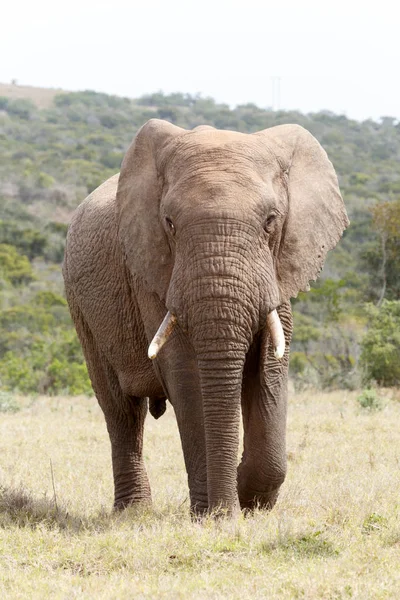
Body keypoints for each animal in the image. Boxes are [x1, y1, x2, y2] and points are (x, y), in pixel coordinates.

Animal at [62, 118, 346, 516]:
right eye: (169, 223)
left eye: (270, 221)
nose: (225, 510)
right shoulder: (151, 269)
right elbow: (185, 373)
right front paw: (213, 515)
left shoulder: (279, 268)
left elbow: (271, 368)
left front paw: (248, 501)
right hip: (81, 307)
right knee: (121, 411)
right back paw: (133, 512)